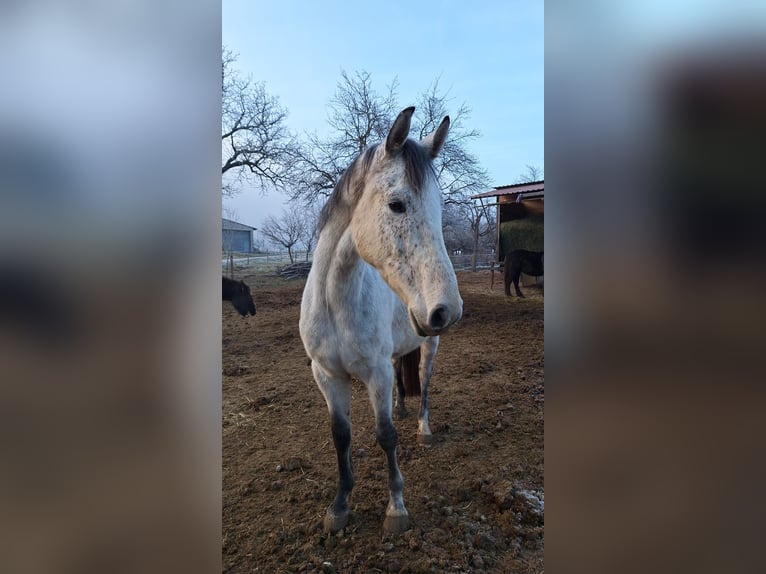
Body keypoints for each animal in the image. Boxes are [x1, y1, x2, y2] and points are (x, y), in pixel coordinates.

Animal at [300, 107, 462, 536]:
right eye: (397, 205)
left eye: (440, 207)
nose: (447, 310)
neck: (336, 303)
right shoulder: (326, 375)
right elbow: (341, 436)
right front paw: (339, 506)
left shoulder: (375, 372)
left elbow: (385, 435)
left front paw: (396, 507)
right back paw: (403, 408)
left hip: (429, 345)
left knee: (423, 382)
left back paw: (422, 427)